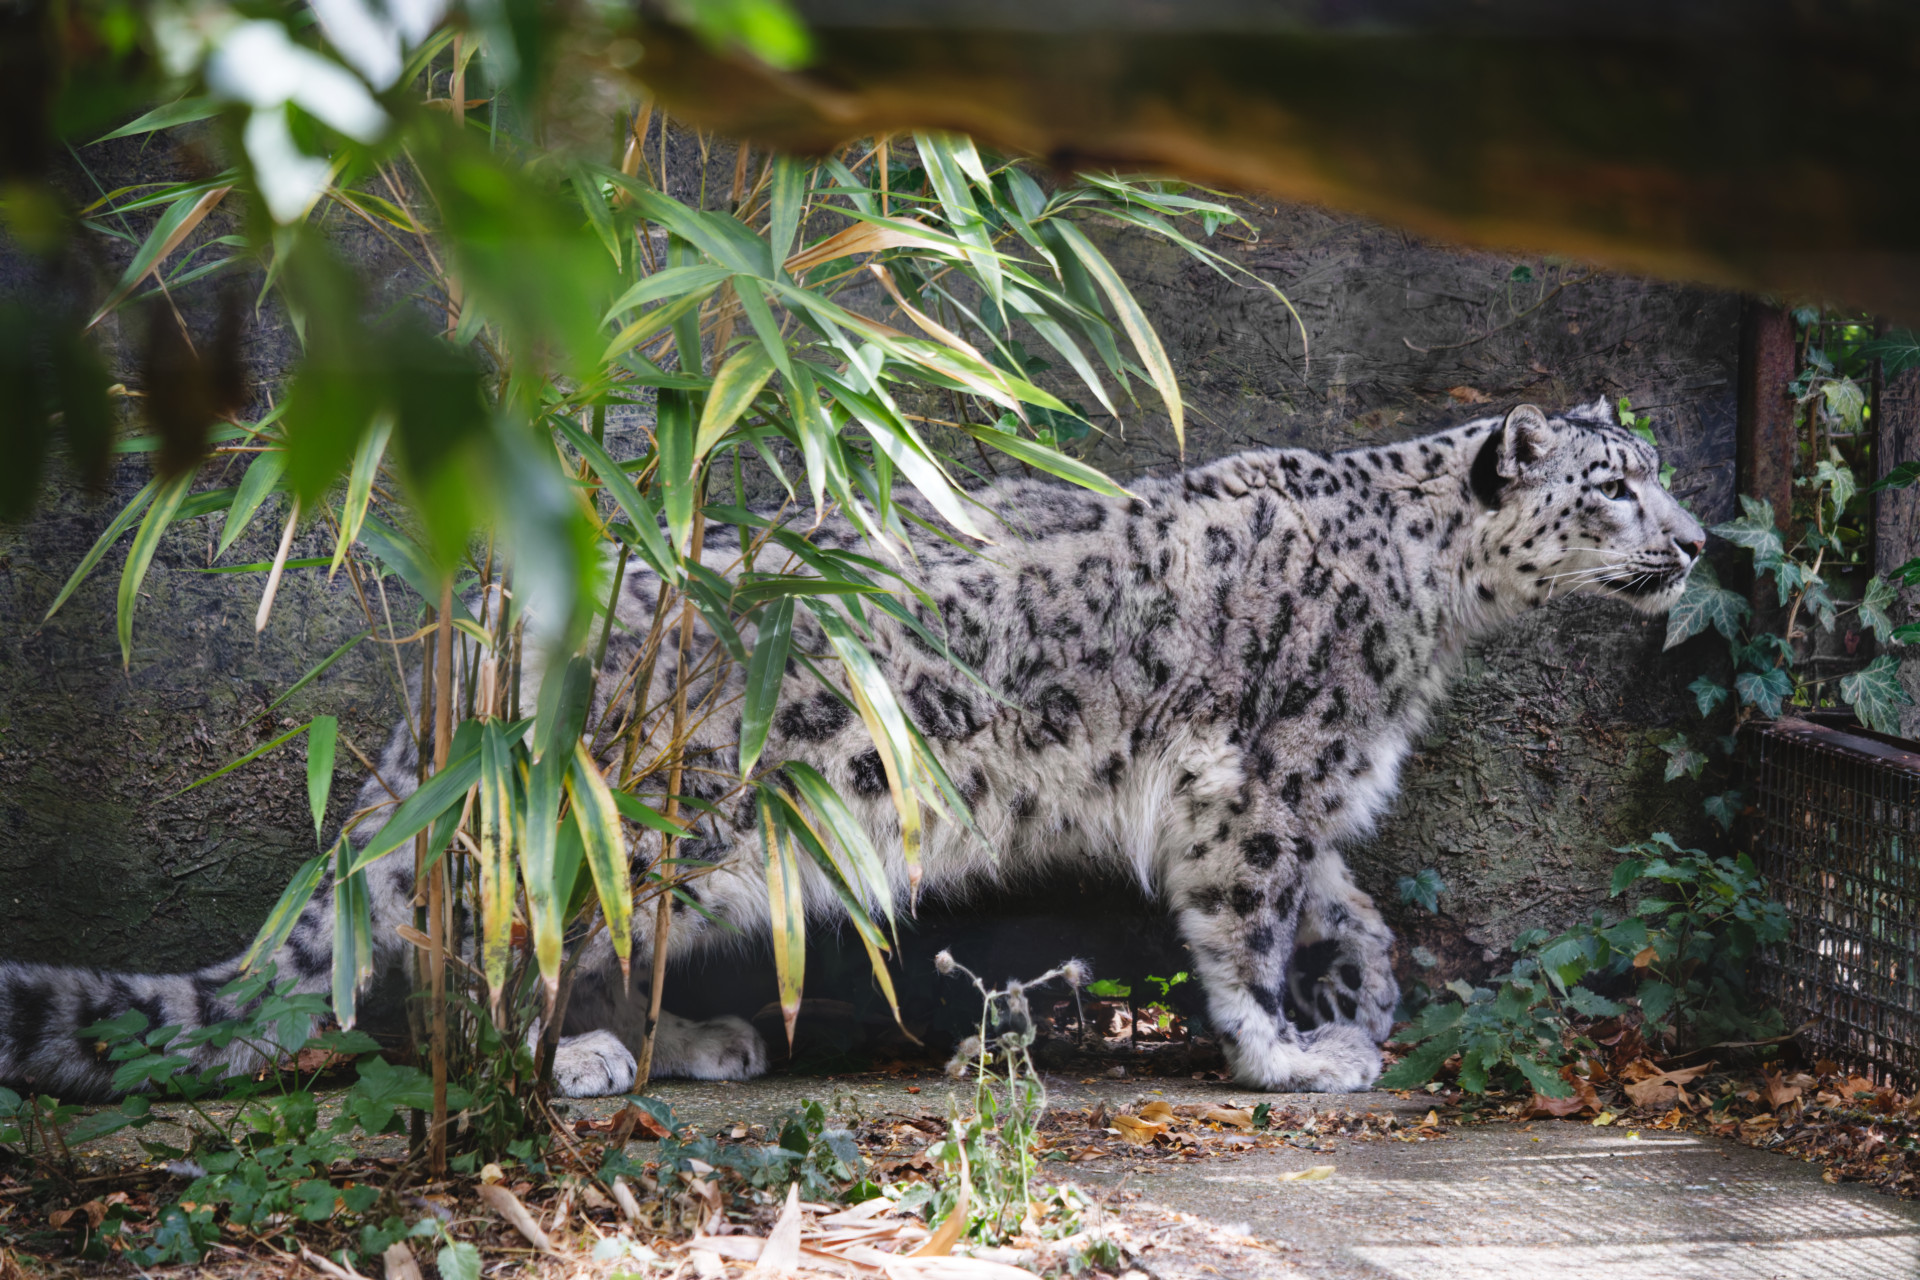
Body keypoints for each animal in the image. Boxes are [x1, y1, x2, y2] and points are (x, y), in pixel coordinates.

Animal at [0, 399, 1704, 1100]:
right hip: (644, 809)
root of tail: (477, 644)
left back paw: (693, 1040)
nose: (1693, 542)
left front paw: (1367, 989)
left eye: (1659, 475)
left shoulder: (1308, 795)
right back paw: (581, 1060)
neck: (1428, 613)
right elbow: (1245, 926)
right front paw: (1294, 1053)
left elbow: (1345, 900)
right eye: (1611, 487)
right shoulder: (1258, 782)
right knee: (500, 930)